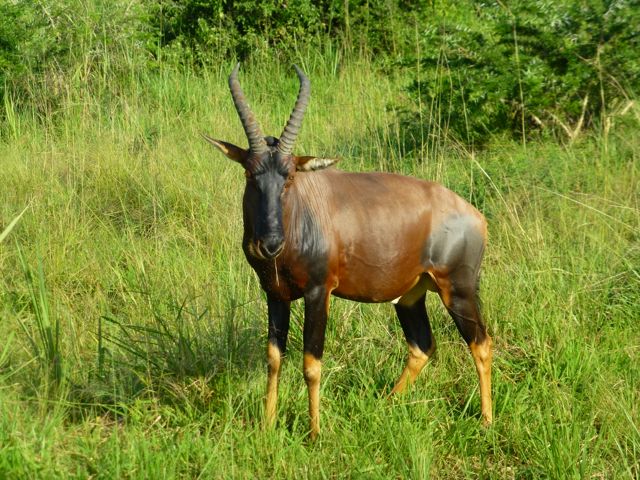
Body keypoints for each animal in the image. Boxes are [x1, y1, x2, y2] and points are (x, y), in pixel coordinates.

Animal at [202, 63, 492, 438]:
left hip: (458, 289)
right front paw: (267, 426)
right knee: (422, 346)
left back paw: (486, 420)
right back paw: (386, 405)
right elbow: (274, 358)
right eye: (250, 174)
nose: (269, 245)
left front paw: (314, 434)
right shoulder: (275, 294)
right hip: (410, 296)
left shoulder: (318, 292)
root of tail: (475, 215)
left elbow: (311, 363)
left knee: (480, 343)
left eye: (289, 176)